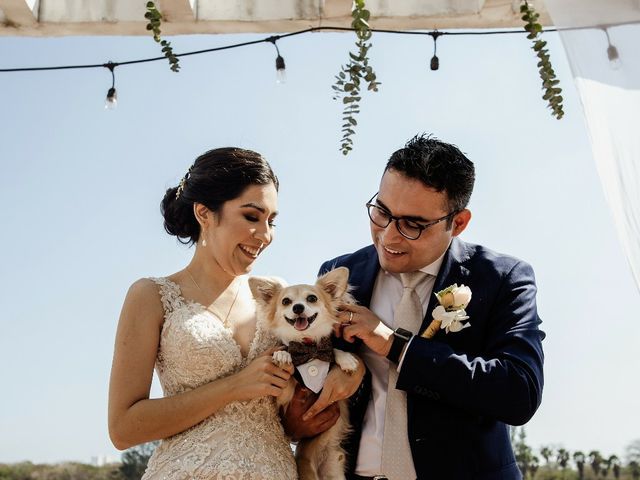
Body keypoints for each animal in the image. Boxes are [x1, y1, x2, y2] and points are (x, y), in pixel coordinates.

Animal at [249, 266, 358, 480]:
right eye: (286, 302)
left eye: (312, 298)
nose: (298, 307)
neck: (307, 346)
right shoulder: (284, 397)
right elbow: (287, 368)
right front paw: (283, 354)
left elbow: (331, 350)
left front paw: (346, 359)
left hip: (334, 470)